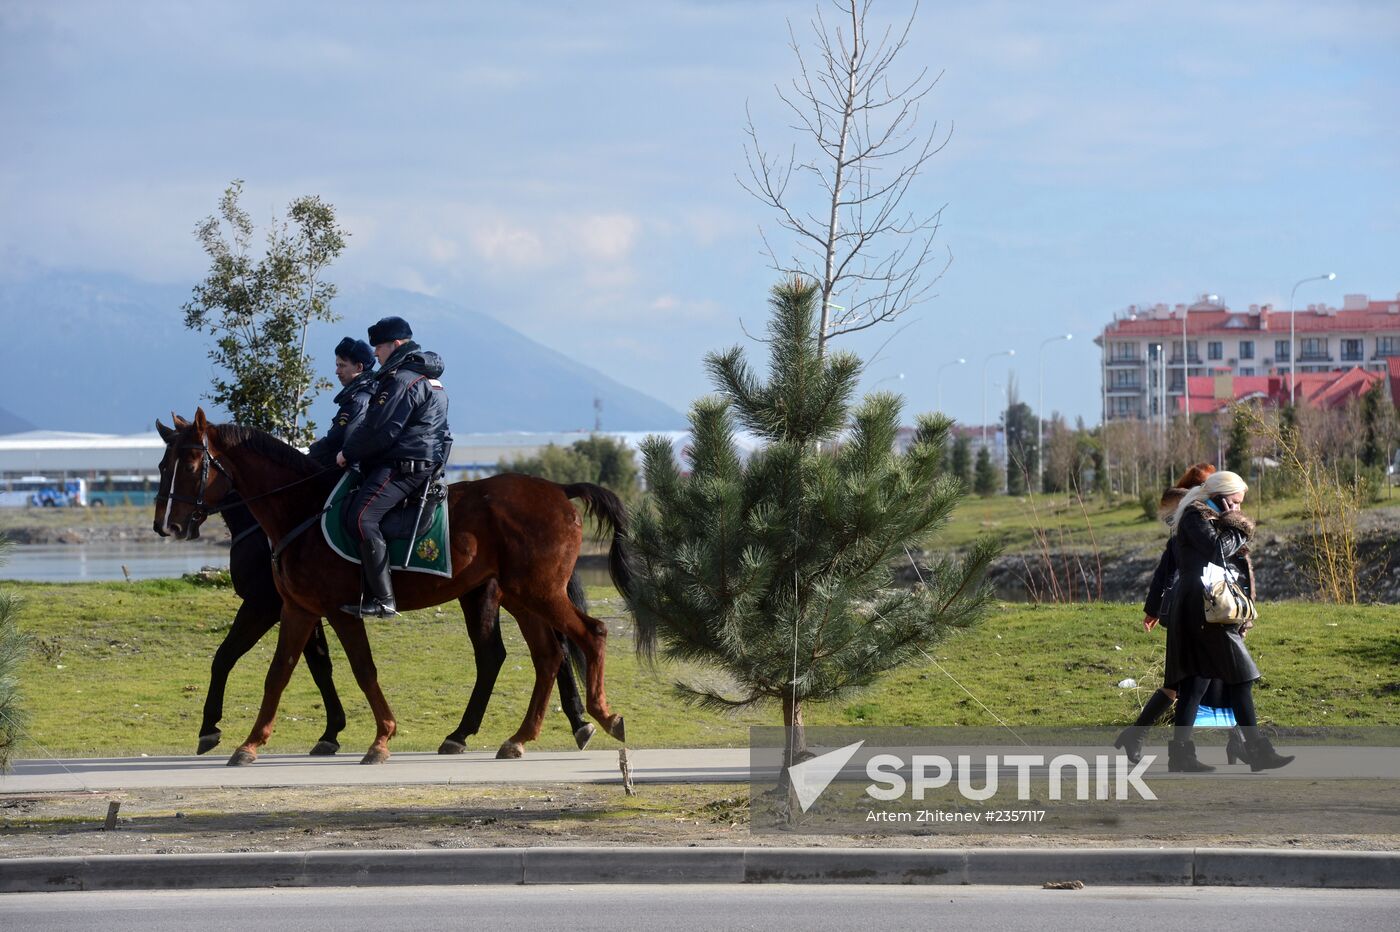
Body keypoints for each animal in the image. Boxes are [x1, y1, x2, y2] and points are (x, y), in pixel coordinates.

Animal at [154, 405, 635, 761]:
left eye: (192, 463)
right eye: (162, 464)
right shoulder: (297, 609)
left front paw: (381, 737)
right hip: (519, 597)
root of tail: (556, 488)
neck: (301, 509)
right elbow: (280, 673)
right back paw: (519, 736)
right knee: (548, 655)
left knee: (590, 634)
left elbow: (361, 670)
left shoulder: (326, 610)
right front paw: (251, 743)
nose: (166, 525)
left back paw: (601, 716)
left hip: (537, 593)